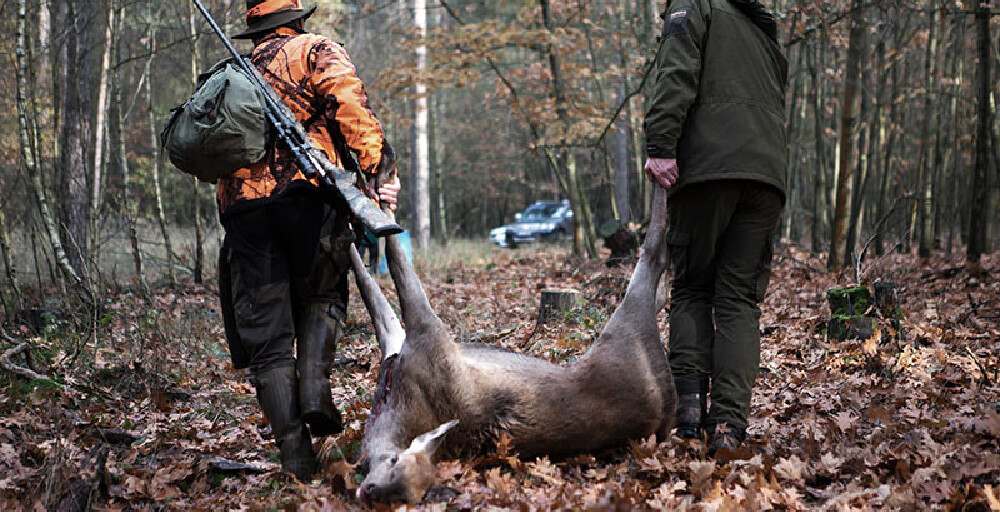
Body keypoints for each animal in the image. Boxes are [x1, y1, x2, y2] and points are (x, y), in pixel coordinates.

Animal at [348, 186, 676, 502]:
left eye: (396, 466)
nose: (369, 490)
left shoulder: (421, 336)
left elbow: (383, 274)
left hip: (627, 322)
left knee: (652, 256)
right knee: (657, 281)